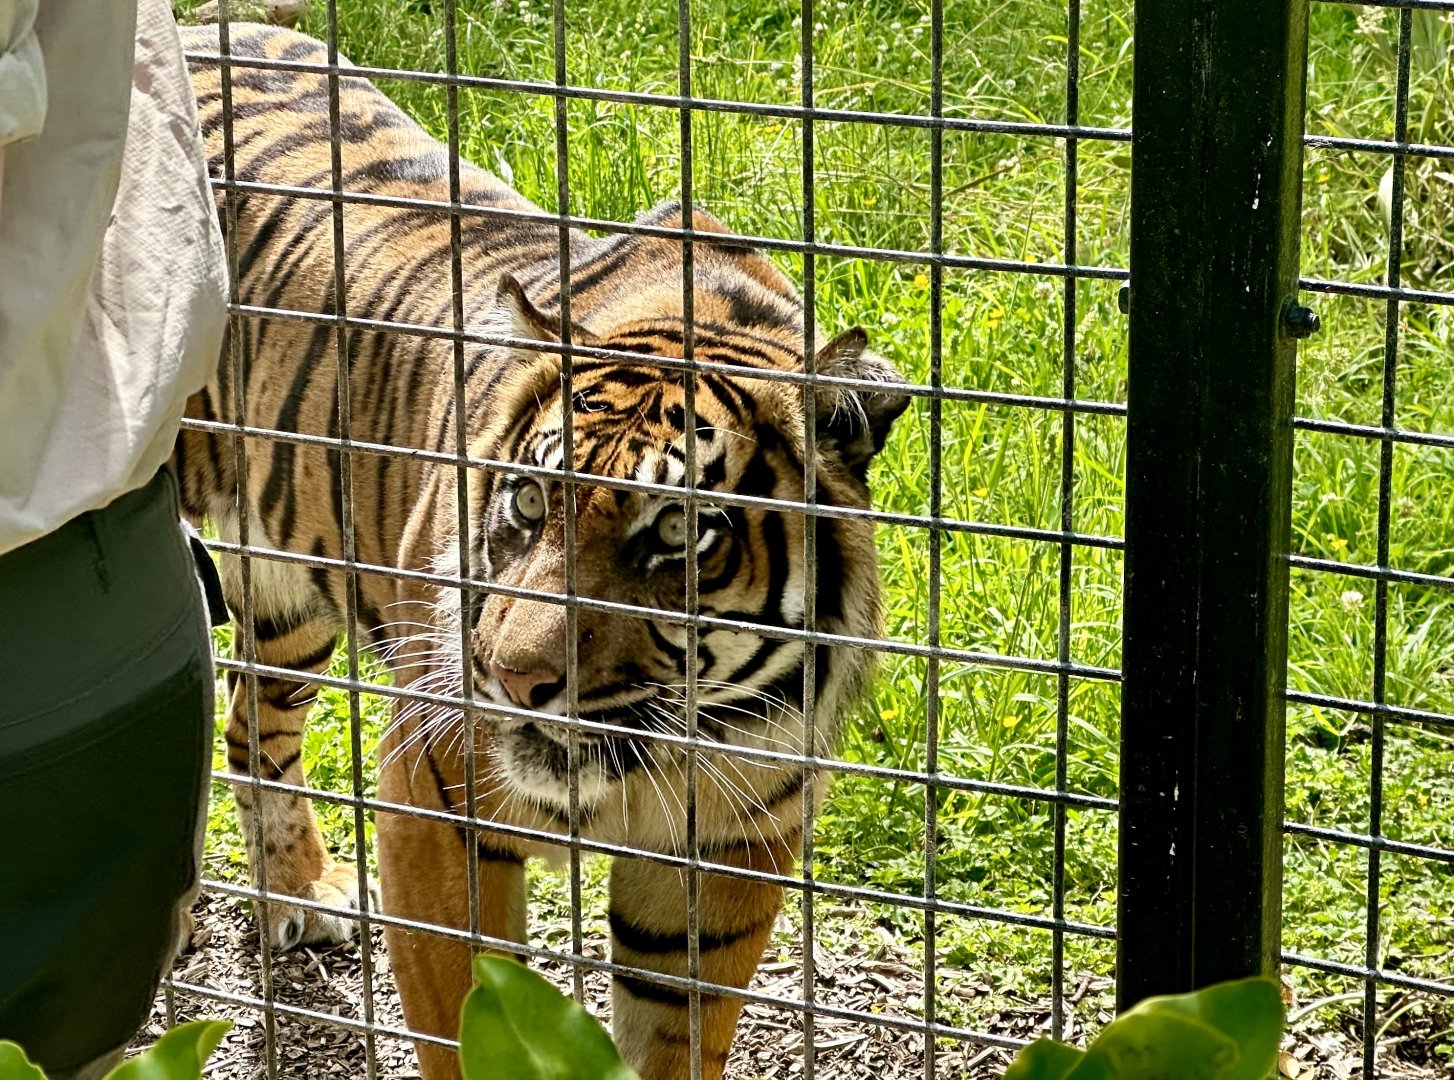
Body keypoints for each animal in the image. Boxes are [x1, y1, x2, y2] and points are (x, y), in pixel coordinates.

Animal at [177, 21, 907, 1080]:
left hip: (291, 595)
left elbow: (674, 1036)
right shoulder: (434, 803)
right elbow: (464, 1021)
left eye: (677, 530)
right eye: (528, 500)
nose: (513, 681)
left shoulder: (733, 848)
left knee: (251, 721)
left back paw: (303, 895)